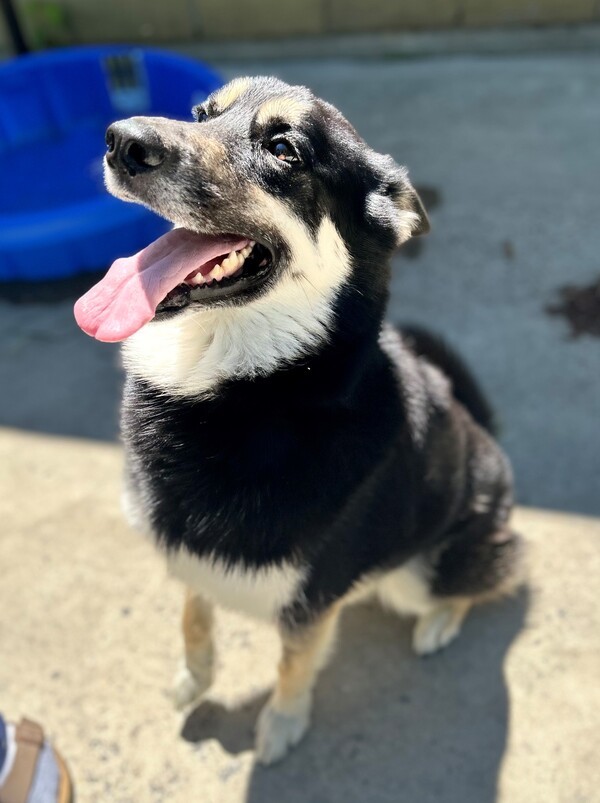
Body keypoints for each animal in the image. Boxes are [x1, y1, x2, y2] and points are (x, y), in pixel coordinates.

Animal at [75, 75, 524, 768]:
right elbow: (193, 617)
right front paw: (193, 679)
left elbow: (293, 664)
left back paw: (439, 622)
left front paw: (282, 724)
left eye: (284, 149)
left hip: (425, 568)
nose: (121, 140)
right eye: (202, 112)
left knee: (488, 577)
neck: (260, 390)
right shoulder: (190, 552)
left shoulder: (313, 598)